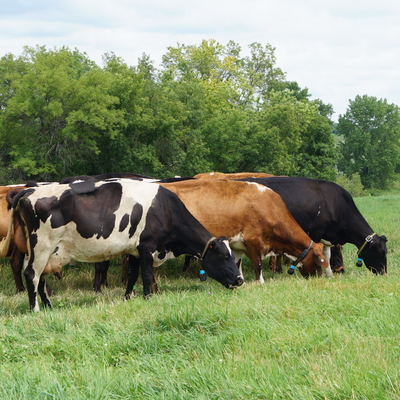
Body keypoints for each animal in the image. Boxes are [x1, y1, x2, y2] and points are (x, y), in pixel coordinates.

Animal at [0, 180, 244, 310]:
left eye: (233, 257)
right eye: (224, 256)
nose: (240, 279)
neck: (164, 208)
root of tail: (29, 190)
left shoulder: (134, 250)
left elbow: (133, 274)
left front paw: (128, 297)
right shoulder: (147, 247)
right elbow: (146, 274)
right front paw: (147, 297)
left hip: (42, 251)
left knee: (40, 277)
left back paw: (49, 306)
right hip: (42, 244)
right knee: (32, 274)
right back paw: (35, 308)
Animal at [241, 177, 388, 276]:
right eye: (380, 252)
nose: (383, 272)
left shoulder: (327, 235)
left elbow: (326, 255)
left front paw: (329, 275)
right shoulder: (315, 233)